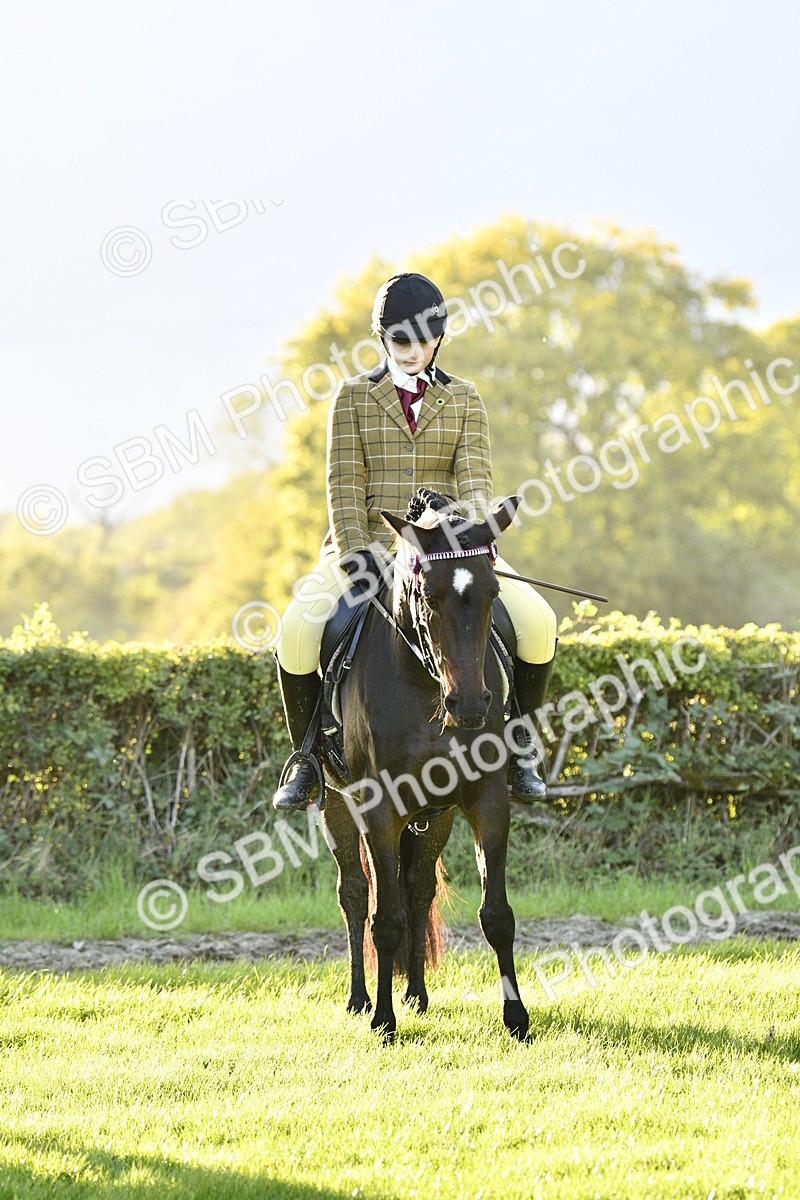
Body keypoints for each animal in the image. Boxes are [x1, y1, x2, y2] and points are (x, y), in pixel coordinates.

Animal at [320, 488, 531, 1041]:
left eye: (492, 593)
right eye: (428, 595)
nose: (471, 706)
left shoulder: (486, 800)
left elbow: (496, 914)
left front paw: (516, 1019)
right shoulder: (379, 809)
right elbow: (384, 918)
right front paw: (383, 1021)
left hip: (436, 816)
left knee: (417, 888)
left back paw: (416, 993)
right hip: (335, 803)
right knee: (355, 893)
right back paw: (360, 999)